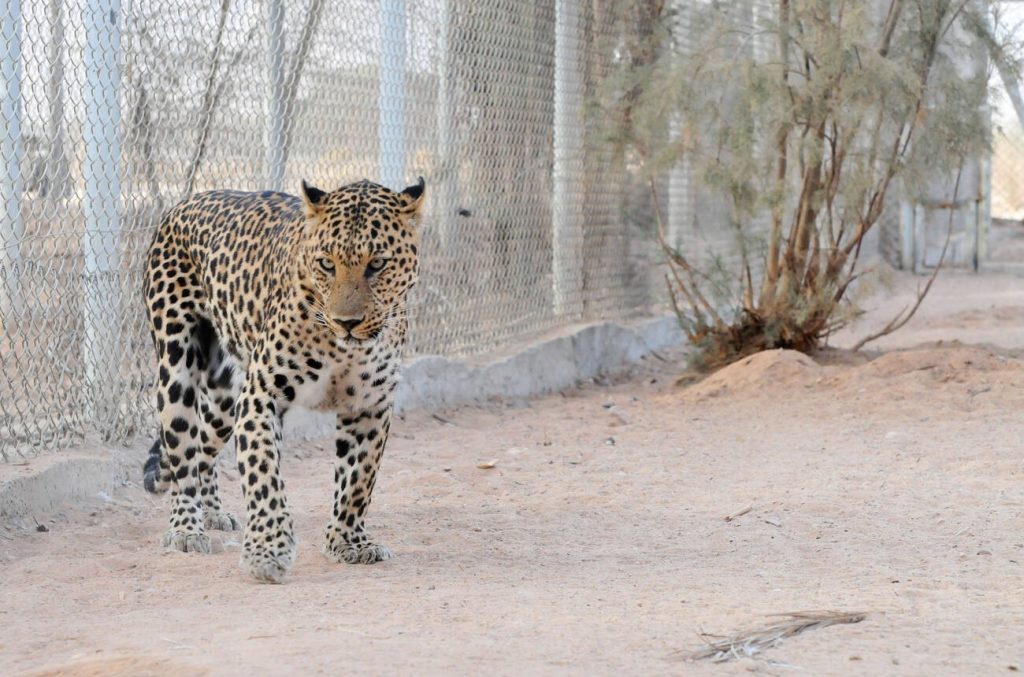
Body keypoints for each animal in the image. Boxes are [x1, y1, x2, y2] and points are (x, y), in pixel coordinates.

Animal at [140, 177, 423, 581]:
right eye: (327, 264)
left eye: (378, 264)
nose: (347, 323)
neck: (343, 348)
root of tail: (188, 200)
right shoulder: (262, 395)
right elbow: (263, 475)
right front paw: (266, 552)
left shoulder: (370, 405)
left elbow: (358, 479)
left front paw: (347, 542)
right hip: (176, 367)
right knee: (182, 452)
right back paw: (186, 528)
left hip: (225, 397)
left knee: (204, 442)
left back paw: (212, 512)